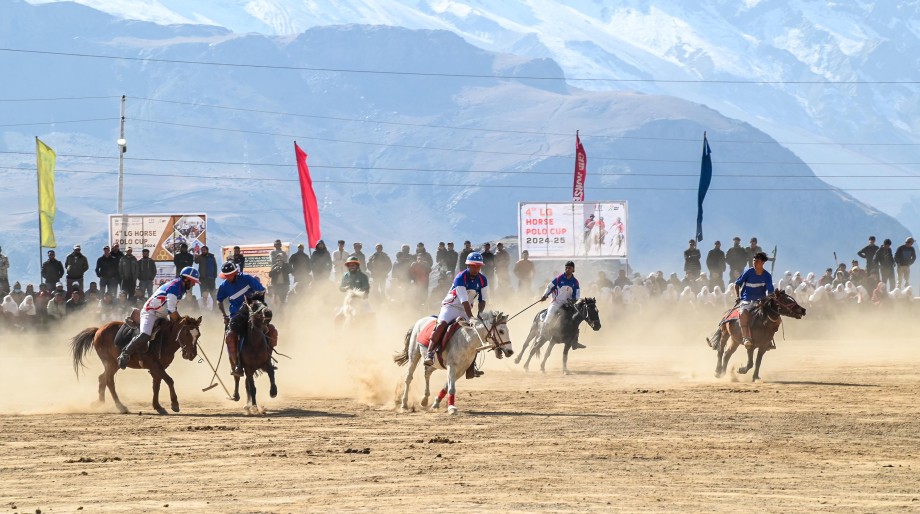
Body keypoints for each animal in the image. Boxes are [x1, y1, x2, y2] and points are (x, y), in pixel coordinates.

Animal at [71, 312, 202, 412]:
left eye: (198, 335)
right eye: (186, 333)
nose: (191, 354)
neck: (164, 338)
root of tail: (98, 330)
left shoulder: (159, 368)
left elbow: (156, 385)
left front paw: (157, 406)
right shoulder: (155, 366)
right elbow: (169, 380)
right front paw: (174, 404)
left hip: (114, 364)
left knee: (102, 378)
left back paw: (100, 402)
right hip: (110, 363)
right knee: (109, 381)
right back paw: (121, 406)